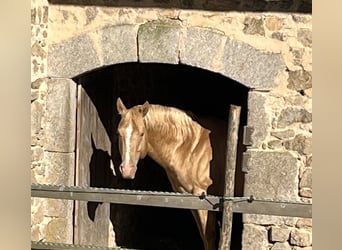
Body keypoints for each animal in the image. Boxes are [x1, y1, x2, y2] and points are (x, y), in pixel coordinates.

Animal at [116, 97, 231, 250]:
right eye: (119, 133)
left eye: (141, 133)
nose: (127, 170)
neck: (190, 148)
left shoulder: (204, 197)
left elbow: (209, 237)